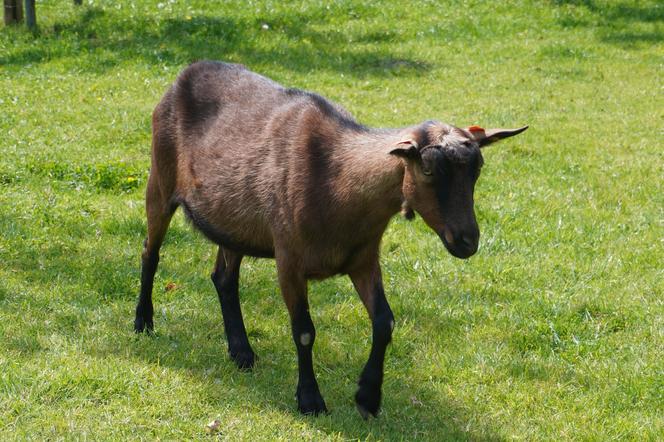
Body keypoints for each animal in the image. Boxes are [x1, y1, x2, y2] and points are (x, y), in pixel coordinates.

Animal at [134, 61, 528, 418]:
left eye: (477, 171)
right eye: (428, 170)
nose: (467, 241)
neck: (337, 182)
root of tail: (186, 72)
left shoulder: (364, 259)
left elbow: (384, 322)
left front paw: (368, 396)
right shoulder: (289, 261)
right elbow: (304, 331)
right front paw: (310, 400)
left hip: (232, 221)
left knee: (224, 278)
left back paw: (241, 352)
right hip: (160, 179)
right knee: (150, 252)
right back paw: (143, 323)